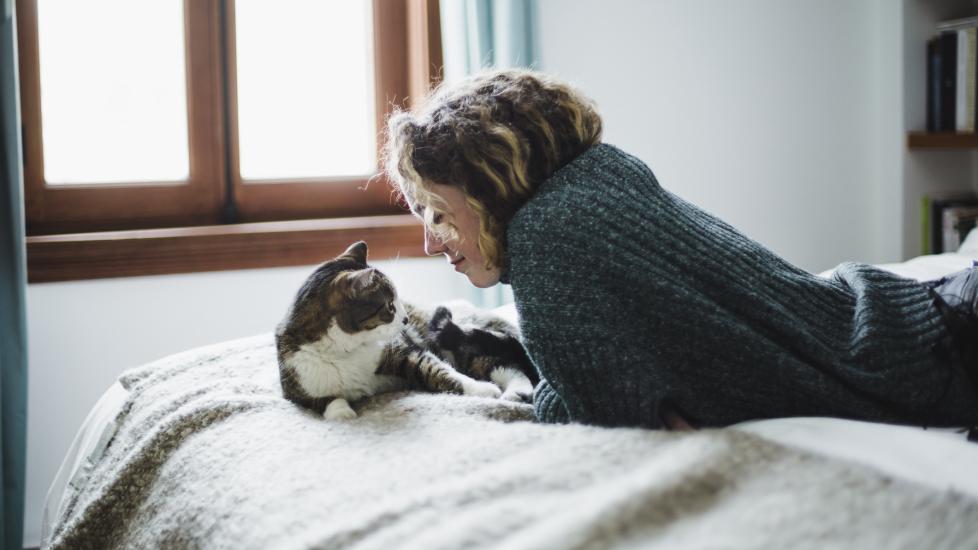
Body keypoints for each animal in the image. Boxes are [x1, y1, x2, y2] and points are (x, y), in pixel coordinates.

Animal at [274, 243, 536, 422]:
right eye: (389, 306)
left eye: (398, 301)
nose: (406, 318)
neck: (346, 349)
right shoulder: (297, 385)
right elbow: (327, 400)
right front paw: (342, 413)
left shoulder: (402, 351)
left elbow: (438, 370)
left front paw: (481, 389)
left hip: (459, 341)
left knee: (506, 366)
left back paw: (515, 392)